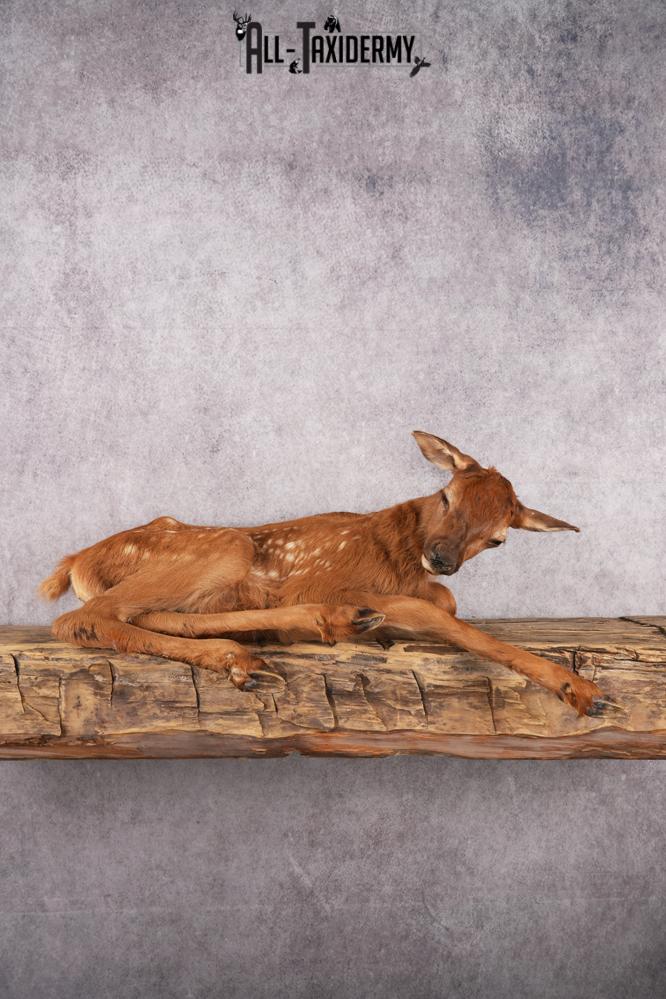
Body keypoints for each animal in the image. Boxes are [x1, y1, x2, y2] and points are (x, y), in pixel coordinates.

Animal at [39, 431, 610, 716]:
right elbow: (436, 612)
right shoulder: (321, 575)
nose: (443, 557)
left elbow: (444, 602)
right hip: (226, 544)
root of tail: (76, 562)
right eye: (446, 494)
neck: (397, 555)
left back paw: (255, 649)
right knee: (83, 619)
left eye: (497, 539)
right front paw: (579, 689)